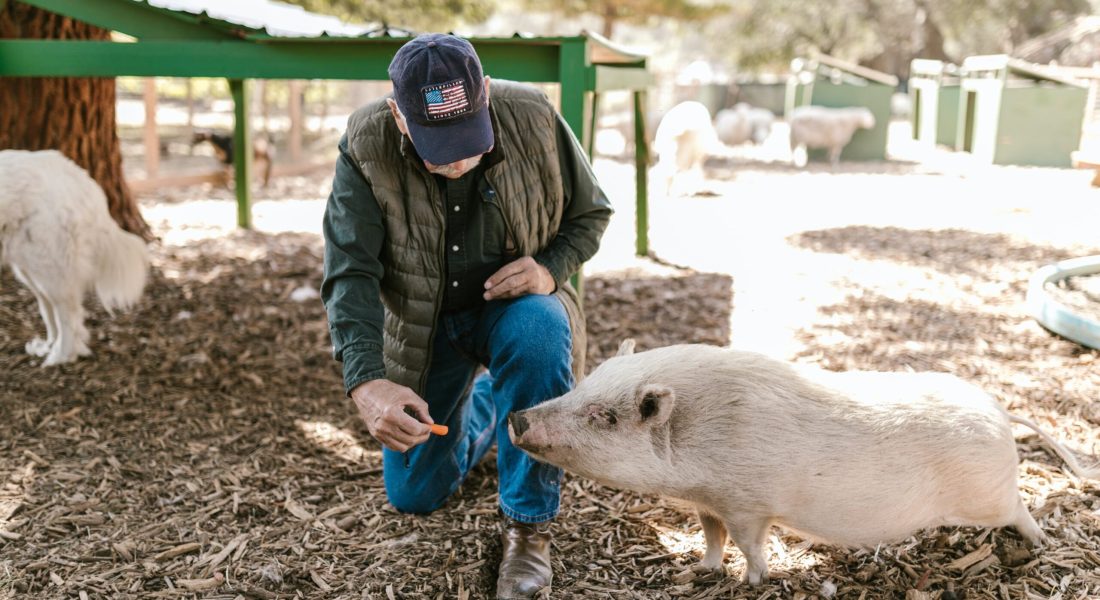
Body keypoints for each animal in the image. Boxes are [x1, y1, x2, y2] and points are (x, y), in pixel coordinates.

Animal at [0, 149, 148, 365]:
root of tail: (78, 177)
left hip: (49, 268)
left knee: (68, 314)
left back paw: (61, 356)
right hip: (33, 270)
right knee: (50, 310)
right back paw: (49, 347)